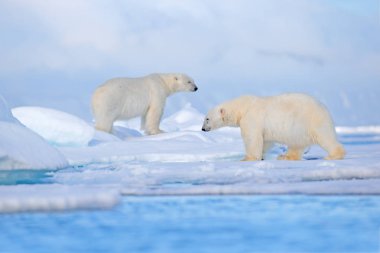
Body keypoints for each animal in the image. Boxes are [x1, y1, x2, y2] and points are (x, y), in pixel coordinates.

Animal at [203, 94, 346, 161]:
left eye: (207, 118)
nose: (203, 129)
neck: (243, 108)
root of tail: (325, 108)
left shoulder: (252, 119)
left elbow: (252, 138)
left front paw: (246, 158)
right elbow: (265, 141)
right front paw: (261, 156)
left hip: (313, 121)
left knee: (325, 137)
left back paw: (333, 155)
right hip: (300, 129)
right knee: (297, 144)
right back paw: (285, 157)